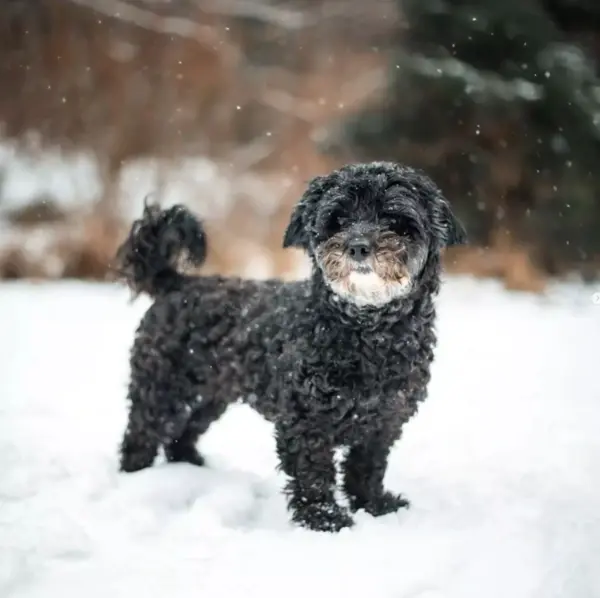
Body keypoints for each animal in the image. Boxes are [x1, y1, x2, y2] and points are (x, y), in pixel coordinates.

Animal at [115, 162, 466, 532]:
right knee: (139, 437)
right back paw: (134, 479)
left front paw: (375, 505)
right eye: (337, 220)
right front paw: (324, 519)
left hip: (208, 395)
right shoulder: (305, 421)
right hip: (162, 390)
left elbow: (367, 467)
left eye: (395, 220)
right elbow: (313, 474)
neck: (368, 333)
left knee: (182, 436)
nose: (358, 246)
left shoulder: (384, 421)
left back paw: (191, 467)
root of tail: (175, 283)